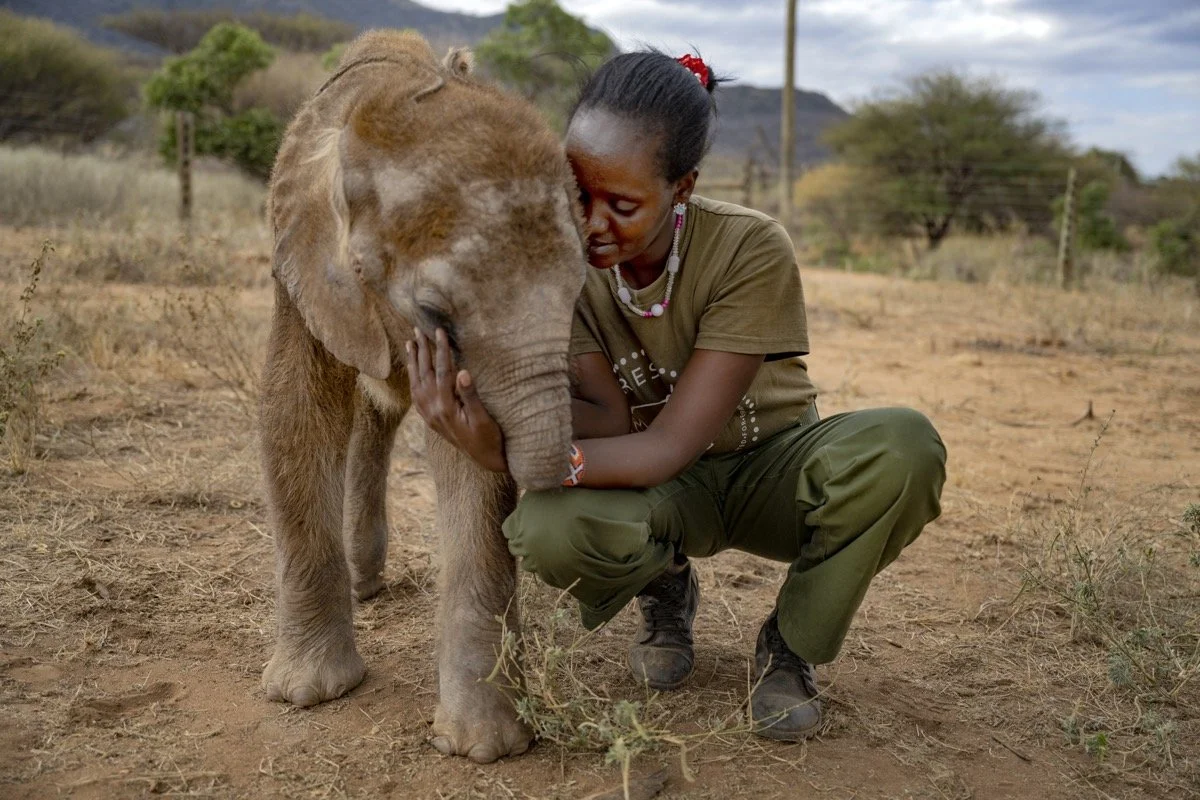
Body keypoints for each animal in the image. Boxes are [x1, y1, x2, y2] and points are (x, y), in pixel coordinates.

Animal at [257, 29, 586, 763]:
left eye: (583, 291)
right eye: (436, 313)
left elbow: (470, 468)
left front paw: (483, 747)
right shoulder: (300, 265)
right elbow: (296, 411)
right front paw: (306, 694)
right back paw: (364, 588)